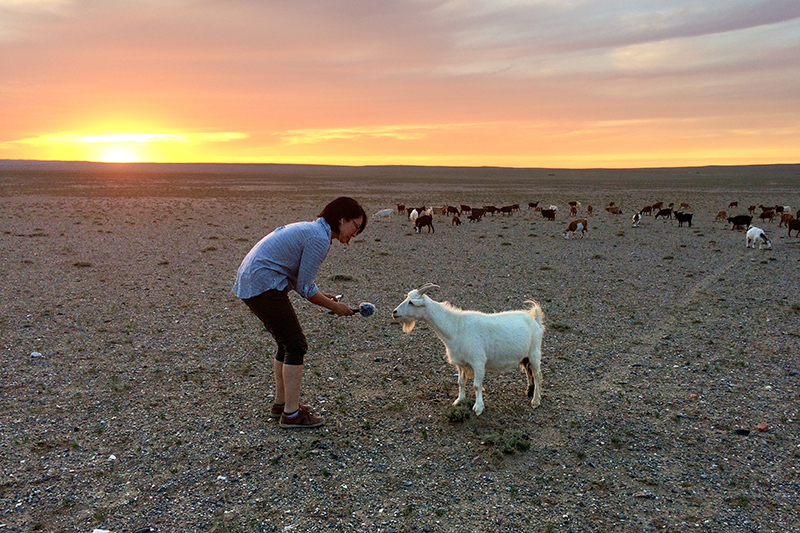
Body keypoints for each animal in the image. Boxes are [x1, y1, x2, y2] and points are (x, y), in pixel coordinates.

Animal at [392, 283, 544, 415]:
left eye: (411, 302)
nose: (394, 312)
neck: (456, 327)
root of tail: (535, 319)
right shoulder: (460, 363)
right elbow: (460, 382)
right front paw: (459, 400)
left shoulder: (478, 362)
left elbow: (476, 385)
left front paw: (478, 408)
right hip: (525, 356)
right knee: (528, 371)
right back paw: (529, 391)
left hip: (534, 353)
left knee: (537, 375)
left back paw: (535, 401)